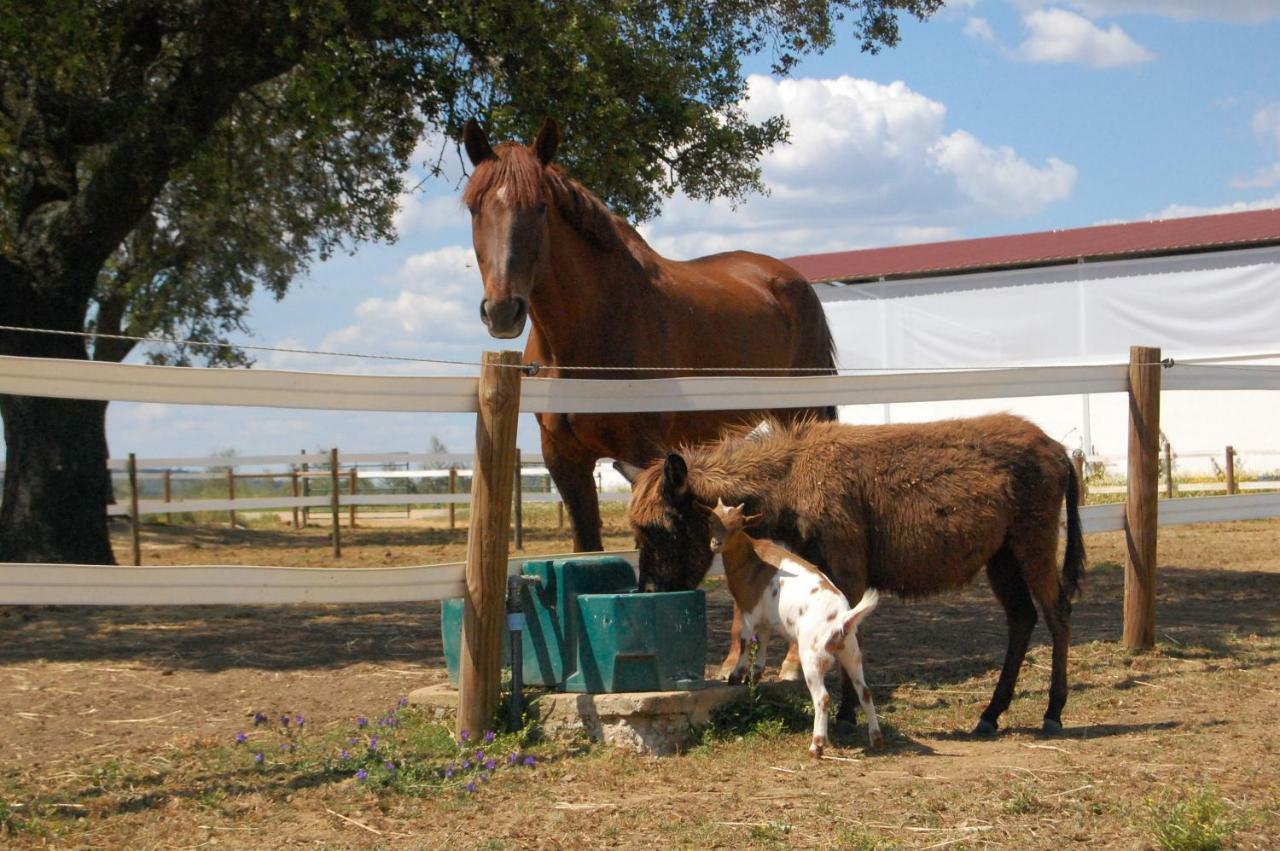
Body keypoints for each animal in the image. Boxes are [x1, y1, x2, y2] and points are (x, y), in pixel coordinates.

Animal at [463, 119, 839, 560]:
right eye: (474, 207)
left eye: (539, 206)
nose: (503, 310)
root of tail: (791, 281)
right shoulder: (564, 460)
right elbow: (588, 545)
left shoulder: (643, 453)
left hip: (799, 412)